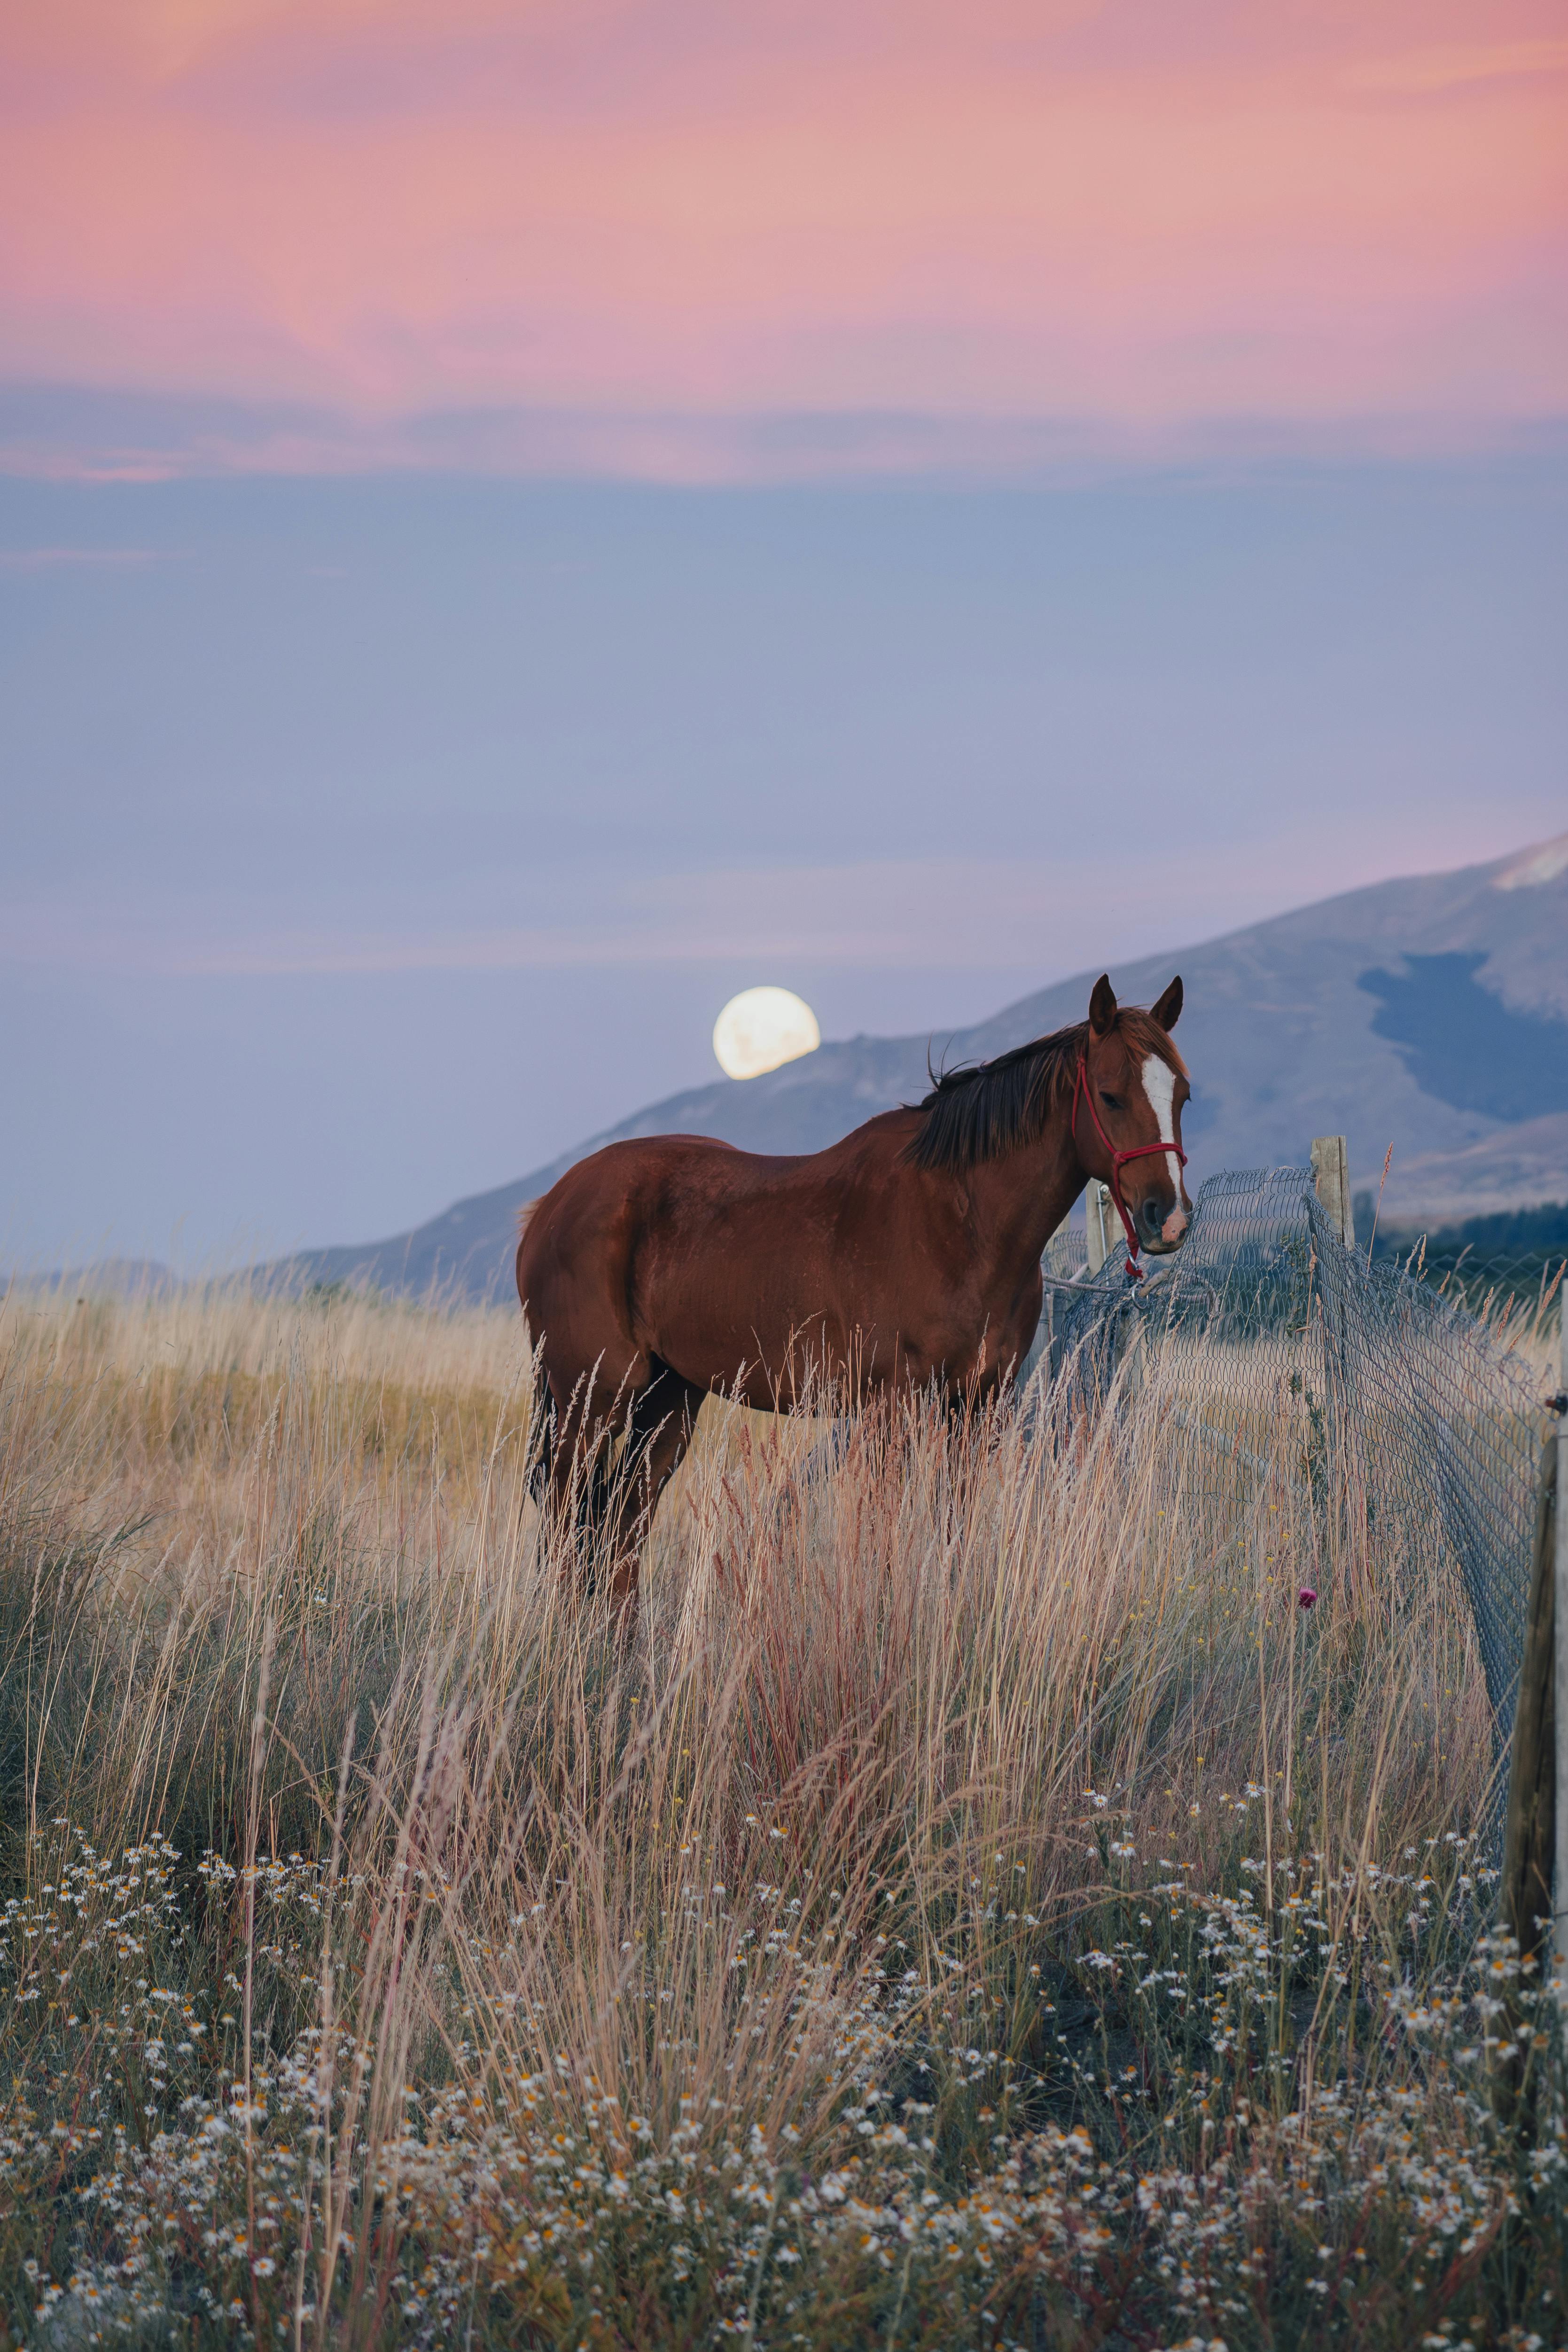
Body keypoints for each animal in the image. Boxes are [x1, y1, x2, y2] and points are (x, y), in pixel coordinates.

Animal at [516, 972, 1191, 1601]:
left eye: (1182, 1094)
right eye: (1109, 1096)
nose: (1168, 1218)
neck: (960, 1225)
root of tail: (550, 1206)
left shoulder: (977, 1405)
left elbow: (955, 1531)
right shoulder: (893, 1407)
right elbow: (883, 1538)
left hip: (669, 1400)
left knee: (622, 1525)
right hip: (590, 1402)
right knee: (569, 1522)